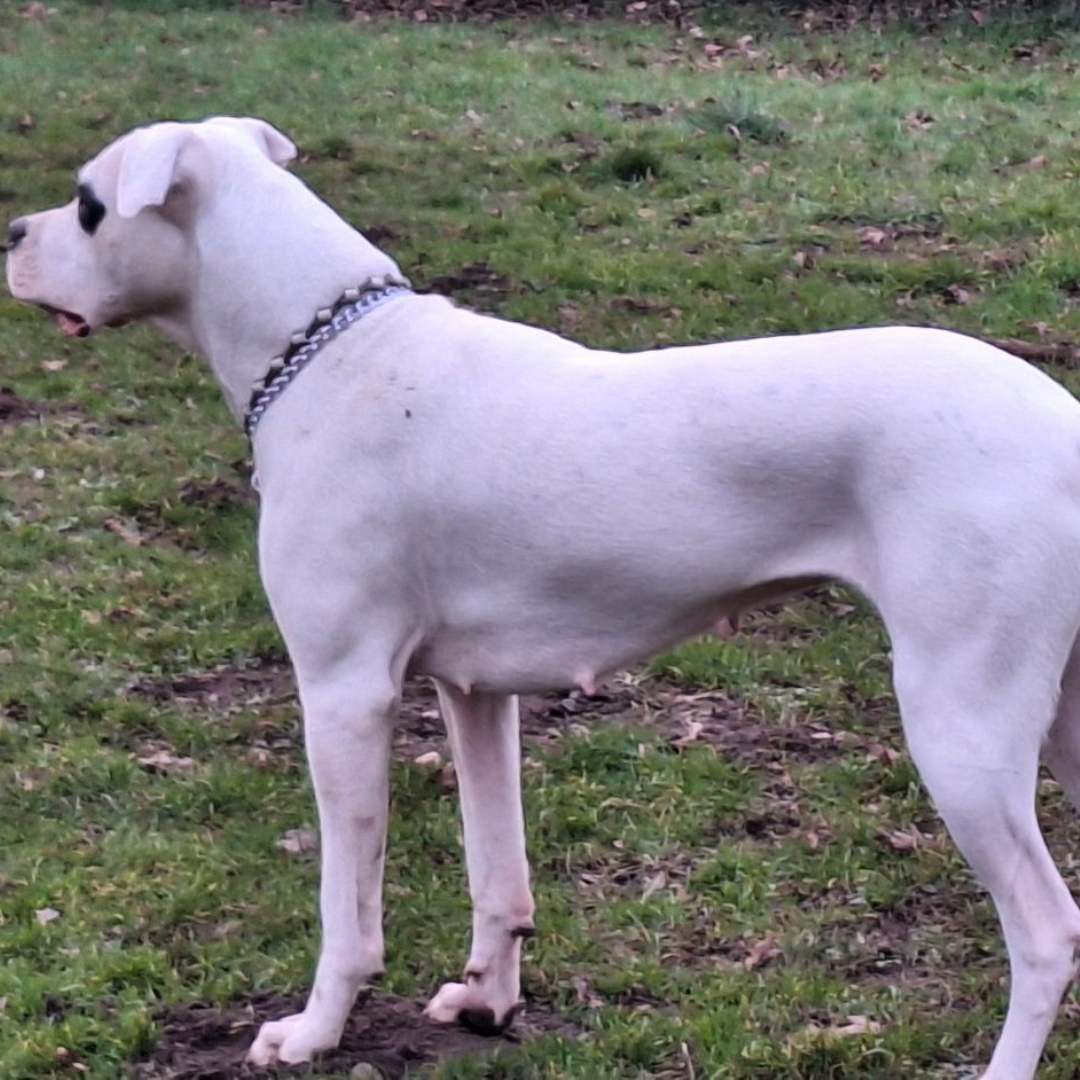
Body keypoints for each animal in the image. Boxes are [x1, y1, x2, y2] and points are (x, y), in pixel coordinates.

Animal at [8, 116, 1080, 1079]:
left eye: (89, 206)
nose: (12, 235)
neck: (333, 353)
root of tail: (1064, 423)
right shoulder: (476, 695)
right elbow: (498, 873)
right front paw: (488, 1000)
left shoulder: (344, 698)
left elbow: (346, 913)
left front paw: (314, 1033)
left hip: (962, 731)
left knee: (1045, 930)